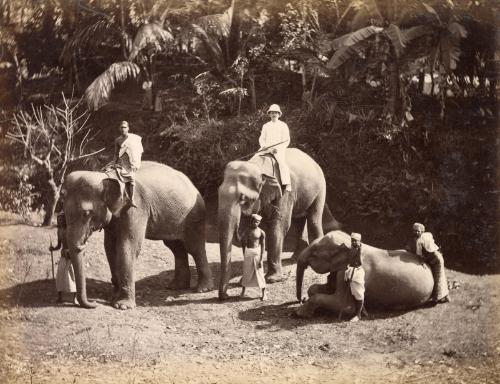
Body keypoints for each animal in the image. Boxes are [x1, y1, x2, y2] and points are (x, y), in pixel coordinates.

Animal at [61, 160, 212, 308]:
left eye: (86, 213)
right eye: (65, 212)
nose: (94, 304)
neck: (107, 176)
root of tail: (193, 184)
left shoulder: (136, 207)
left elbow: (127, 246)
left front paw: (122, 305)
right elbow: (110, 247)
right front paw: (112, 298)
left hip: (194, 216)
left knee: (194, 247)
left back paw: (202, 289)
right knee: (175, 247)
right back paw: (176, 287)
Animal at [217, 147, 338, 300]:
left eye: (243, 198)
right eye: (218, 193)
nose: (225, 296)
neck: (259, 166)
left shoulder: (285, 191)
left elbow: (278, 225)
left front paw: (272, 280)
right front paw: (242, 280)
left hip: (320, 188)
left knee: (313, 218)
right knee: (299, 220)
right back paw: (296, 257)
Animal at [294, 231, 436, 318]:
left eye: (314, 252)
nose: (301, 300)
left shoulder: (347, 273)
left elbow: (345, 306)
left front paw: (298, 313)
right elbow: (316, 288)